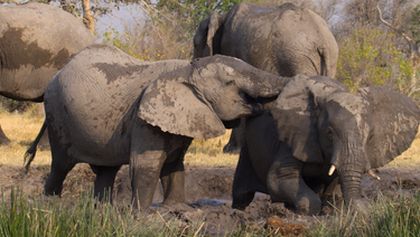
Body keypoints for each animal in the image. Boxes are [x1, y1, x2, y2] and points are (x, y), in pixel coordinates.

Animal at [24, 44, 290, 209]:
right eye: (230, 82)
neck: (188, 68)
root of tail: (56, 75)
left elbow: (174, 166)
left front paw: (177, 208)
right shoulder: (144, 120)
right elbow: (147, 165)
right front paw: (140, 214)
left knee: (106, 171)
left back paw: (101, 208)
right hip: (57, 116)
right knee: (61, 165)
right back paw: (50, 203)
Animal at [193, 2, 338, 154]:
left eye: (195, 45)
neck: (222, 17)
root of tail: (323, 39)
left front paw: (231, 150)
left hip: (296, 59)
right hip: (325, 61)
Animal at [233, 75, 420, 215]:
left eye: (369, 136)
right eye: (329, 133)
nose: (366, 209)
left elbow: (334, 181)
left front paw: (334, 209)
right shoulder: (293, 135)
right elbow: (279, 178)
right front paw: (307, 211)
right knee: (242, 195)